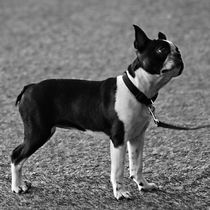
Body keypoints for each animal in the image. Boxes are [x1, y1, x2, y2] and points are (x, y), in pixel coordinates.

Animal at [10, 25, 183, 199]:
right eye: (161, 50)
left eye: (177, 49)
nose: (179, 55)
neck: (136, 90)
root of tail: (30, 87)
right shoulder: (118, 139)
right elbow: (118, 170)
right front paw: (120, 193)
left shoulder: (137, 137)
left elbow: (137, 165)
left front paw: (144, 185)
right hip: (39, 132)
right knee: (16, 156)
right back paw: (17, 186)